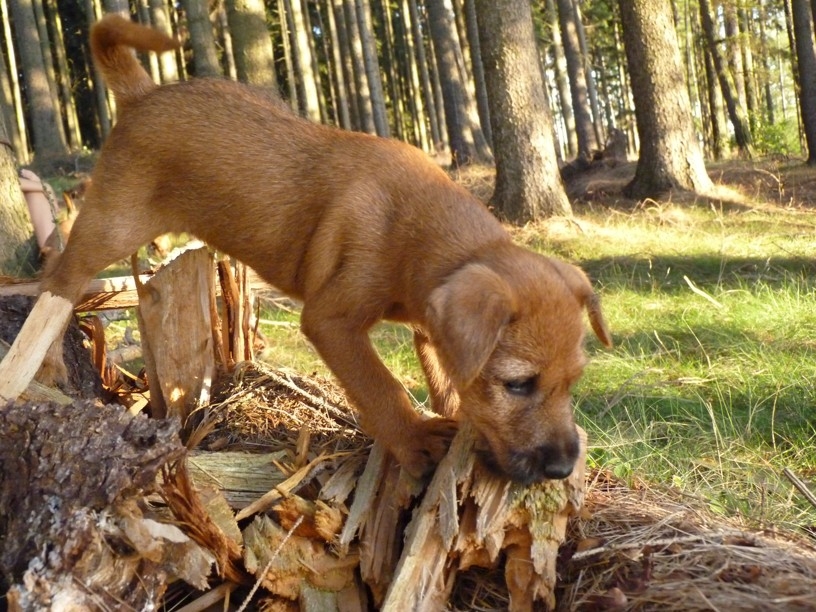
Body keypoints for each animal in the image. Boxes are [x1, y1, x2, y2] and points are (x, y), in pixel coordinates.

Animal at [42, 15, 612, 483]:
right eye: (519, 385)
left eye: (574, 381)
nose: (563, 468)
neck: (418, 229)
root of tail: (143, 96)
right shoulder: (332, 320)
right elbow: (381, 385)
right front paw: (415, 441)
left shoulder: (430, 330)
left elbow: (449, 384)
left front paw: (452, 420)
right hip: (112, 224)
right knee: (57, 277)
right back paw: (45, 357)